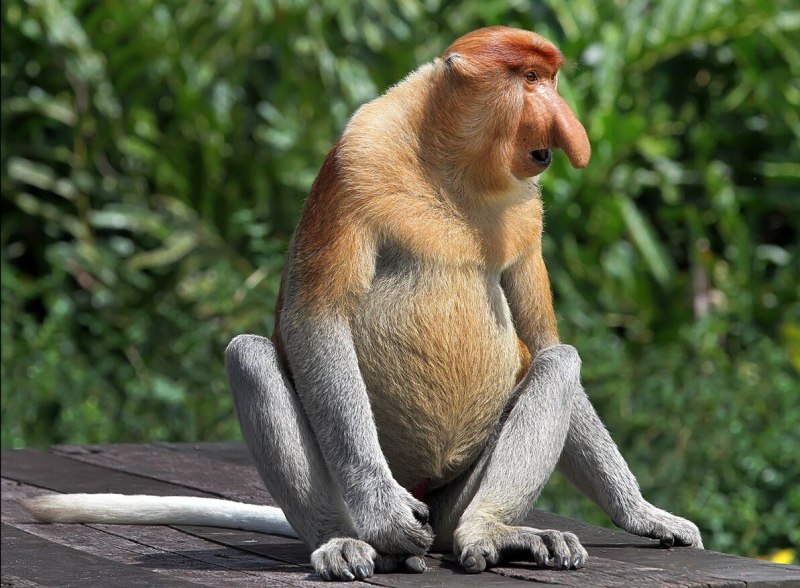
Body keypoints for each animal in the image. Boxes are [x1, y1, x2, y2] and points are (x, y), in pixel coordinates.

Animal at [23, 26, 703, 581]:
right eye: (531, 79)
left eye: (550, 78)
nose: (565, 127)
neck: (452, 163)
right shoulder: (356, 158)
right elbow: (316, 318)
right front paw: (381, 514)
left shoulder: (526, 210)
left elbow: (541, 339)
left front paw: (647, 515)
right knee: (249, 354)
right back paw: (350, 541)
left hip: (449, 500)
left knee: (559, 363)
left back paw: (490, 534)